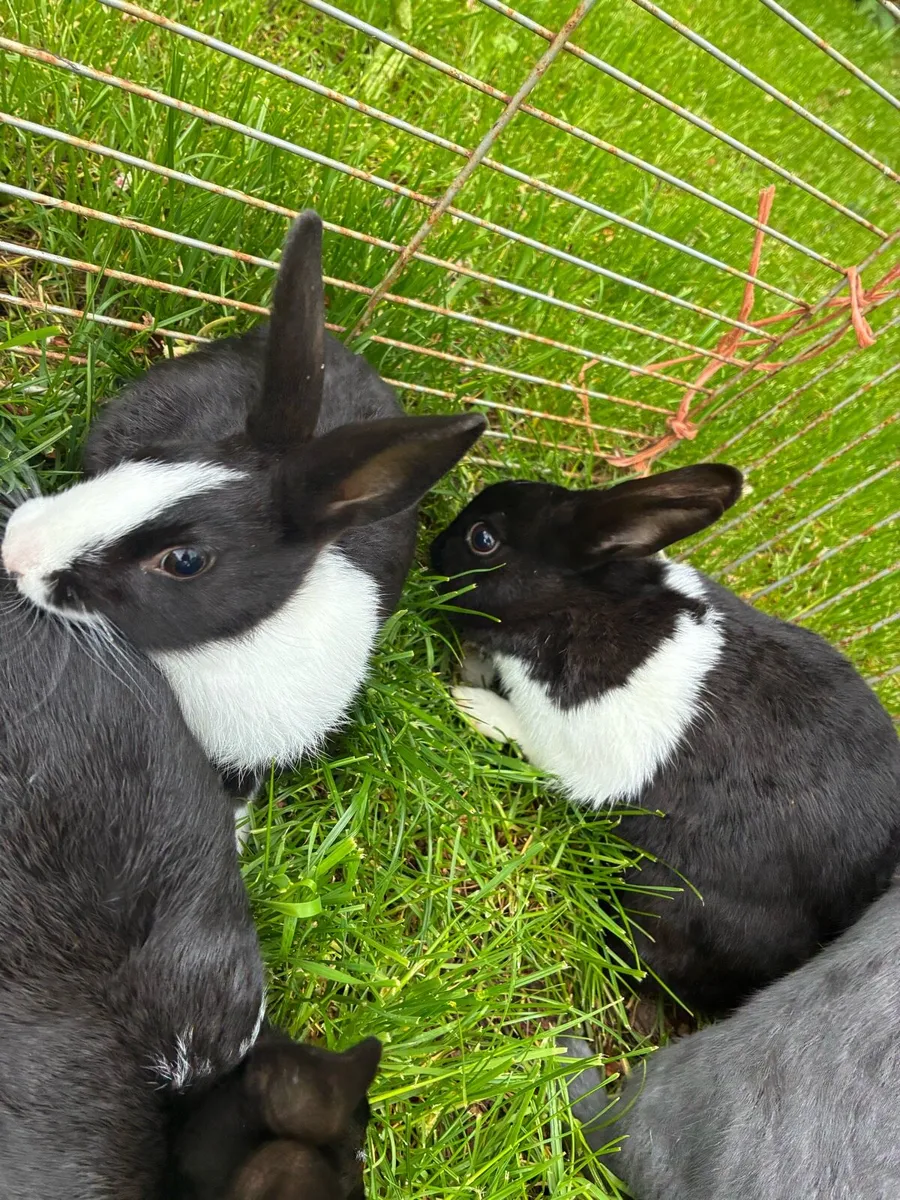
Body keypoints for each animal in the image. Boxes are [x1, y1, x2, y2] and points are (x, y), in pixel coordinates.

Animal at [429, 465, 900, 1013]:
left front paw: (468, 700)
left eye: (482, 539)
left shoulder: (568, 743)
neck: (585, 603)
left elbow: (518, 729)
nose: (432, 548)